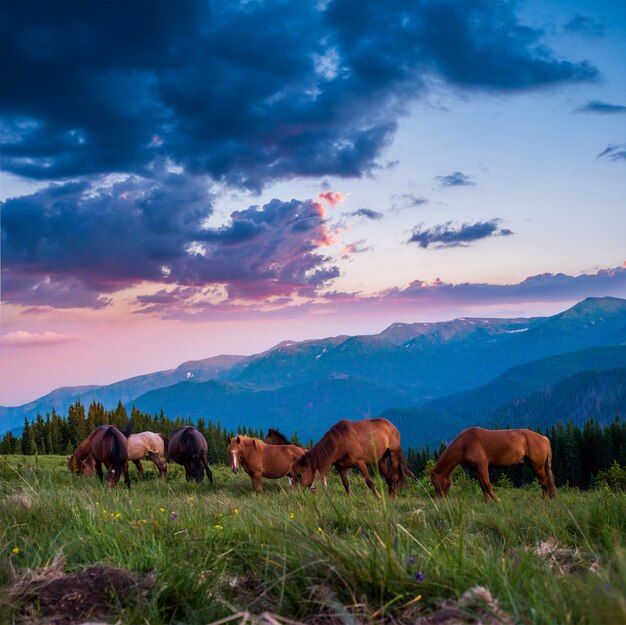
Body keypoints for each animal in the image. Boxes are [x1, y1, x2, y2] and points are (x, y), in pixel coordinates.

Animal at [428, 424, 556, 502]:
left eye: (435, 482)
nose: (439, 499)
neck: (465, 444)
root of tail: (545, 438)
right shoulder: (477, 468)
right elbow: (482, 485)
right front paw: (487, 502)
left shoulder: (483, 465)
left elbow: (487, 484)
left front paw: (497, 500)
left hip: (537, 466)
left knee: (544, 482)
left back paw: (544, 499)